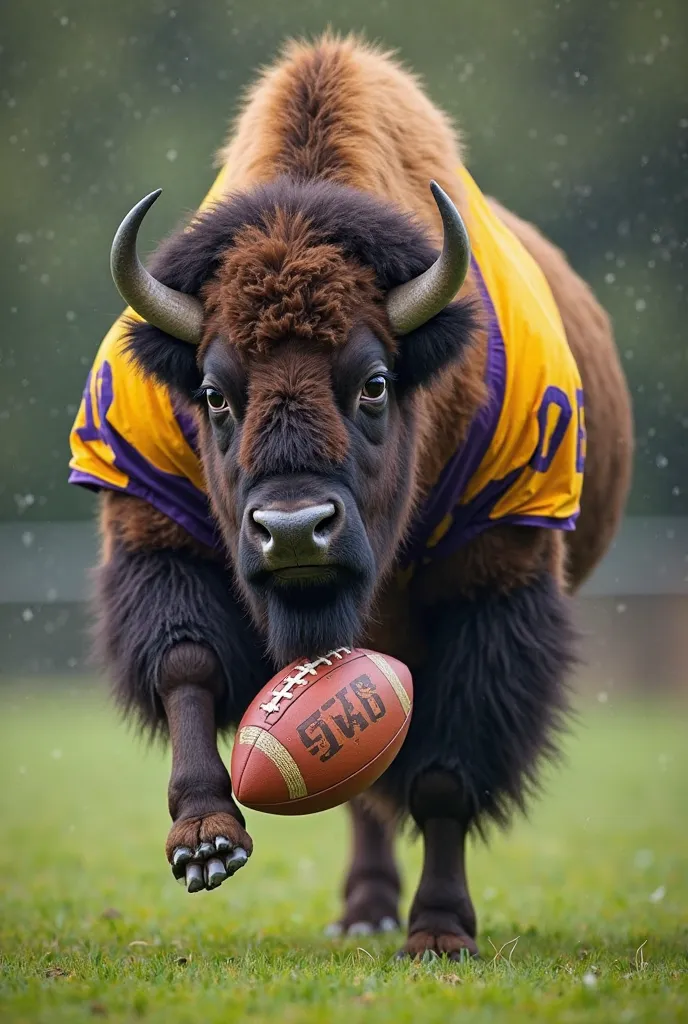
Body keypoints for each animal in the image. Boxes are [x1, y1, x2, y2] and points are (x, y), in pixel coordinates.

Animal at [69, 34, 634, 958]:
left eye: (373, 383)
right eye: (214, 394)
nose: (295, 530)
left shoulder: (495, 576)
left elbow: (444, 774)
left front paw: (439, 933)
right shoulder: (156, 526)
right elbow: (186, 663)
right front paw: (205, 843)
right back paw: (361, 910)